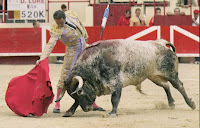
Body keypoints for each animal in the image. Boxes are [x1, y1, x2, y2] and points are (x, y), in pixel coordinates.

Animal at [55, 38, 196, 117]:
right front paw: (69, 111)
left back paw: (191, 104)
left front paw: (113, 113)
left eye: (81, 92)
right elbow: (76, 103)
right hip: (154, 76)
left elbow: (114, 99)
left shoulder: (116, 83)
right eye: (74, 95)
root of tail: (160, 43)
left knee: (179, 86)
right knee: (166, 85)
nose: (87, 109)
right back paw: (171, 103)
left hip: (171, 73)